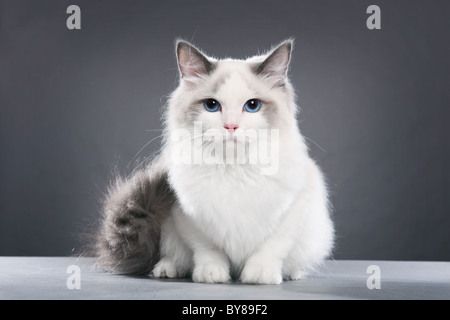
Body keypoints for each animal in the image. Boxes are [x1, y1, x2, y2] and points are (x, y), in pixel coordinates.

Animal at [94, 38, 334, 284]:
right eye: (211, 105)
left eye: (252, 106)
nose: (231, 126)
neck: (233, 168)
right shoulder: (188, 216)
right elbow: (207, 249)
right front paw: (212, 274)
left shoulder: (294, 207)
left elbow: (271, 247)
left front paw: (259, 276)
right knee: (175, 255)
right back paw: (167, 269)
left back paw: (292, 275)